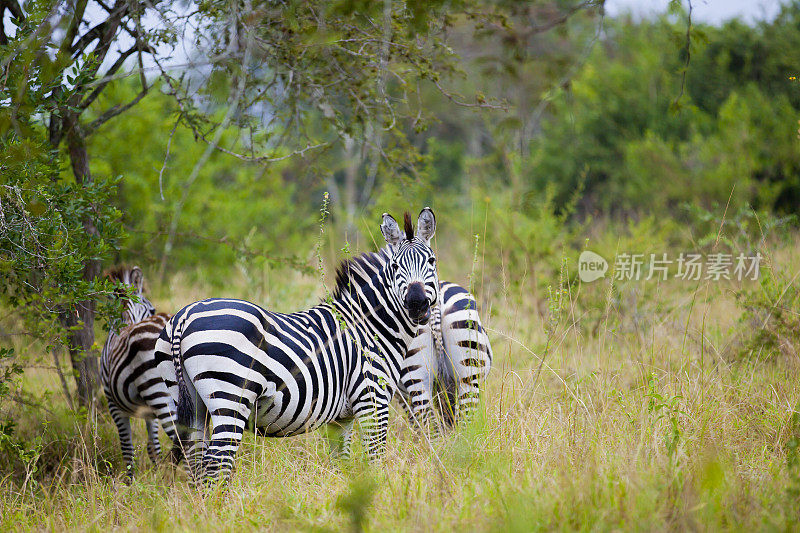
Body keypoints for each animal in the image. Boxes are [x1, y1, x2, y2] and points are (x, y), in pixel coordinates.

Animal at [101, 264, 179, 476]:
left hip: (159, 393)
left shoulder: (114, 405)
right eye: (152, 309)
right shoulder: (149, 412)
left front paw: (131, 481)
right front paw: (158, 475)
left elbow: (127, 449)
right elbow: (153, 447)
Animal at [155, 208, 444, 482]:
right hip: (230, 396)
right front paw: (381, 491)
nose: (417, 303)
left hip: (186, 401)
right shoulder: (372, 399)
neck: (369, 326)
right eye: (395, 266)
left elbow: (342, 464)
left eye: (431, 261)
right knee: (216, 465)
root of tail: (184, 315)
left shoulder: (341, 419)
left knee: (196, 462)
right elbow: (376, 460)